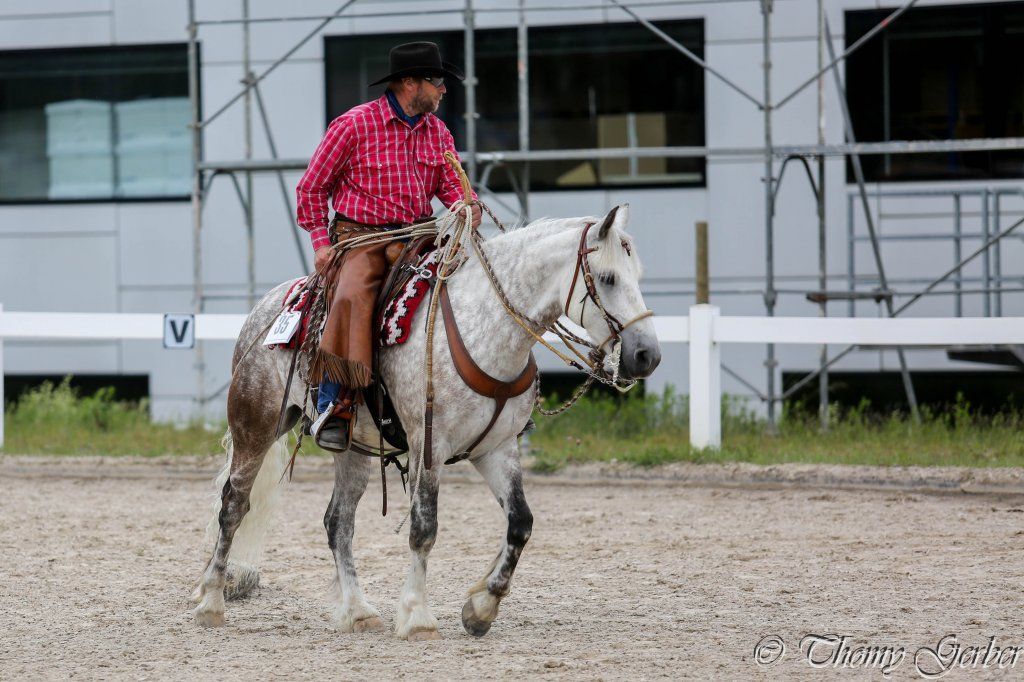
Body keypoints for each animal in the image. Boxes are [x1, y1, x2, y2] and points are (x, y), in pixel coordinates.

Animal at [190, 203, 662, 640]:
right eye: (608, 278)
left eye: (637, 273)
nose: (647, 356)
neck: (485, 330)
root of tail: (269, 305)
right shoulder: (429, 446)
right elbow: (424, 528)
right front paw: (417, 615)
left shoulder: (497, 448)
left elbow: (520, 523)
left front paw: (481, 607)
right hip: (255, 424)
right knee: (233, 506)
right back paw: (211, 602)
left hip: (353, 449)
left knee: (337, 522)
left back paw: (358, 611)